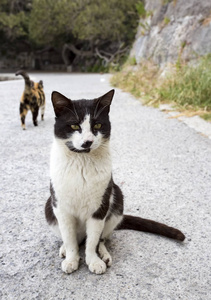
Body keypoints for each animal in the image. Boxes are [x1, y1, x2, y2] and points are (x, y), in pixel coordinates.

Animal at [45, 90, 185, 276]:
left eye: (97, 125)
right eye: (74, 126)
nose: (88, 141)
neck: (82, 162)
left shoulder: (101, 206)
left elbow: (93, 240)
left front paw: (94, 260)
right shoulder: (60, 207)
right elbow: (69, 238)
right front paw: (71, 259)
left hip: (116, 199)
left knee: (100, 238)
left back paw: (104, 254)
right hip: (49, 208)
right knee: (71, 238)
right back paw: (64, 249)